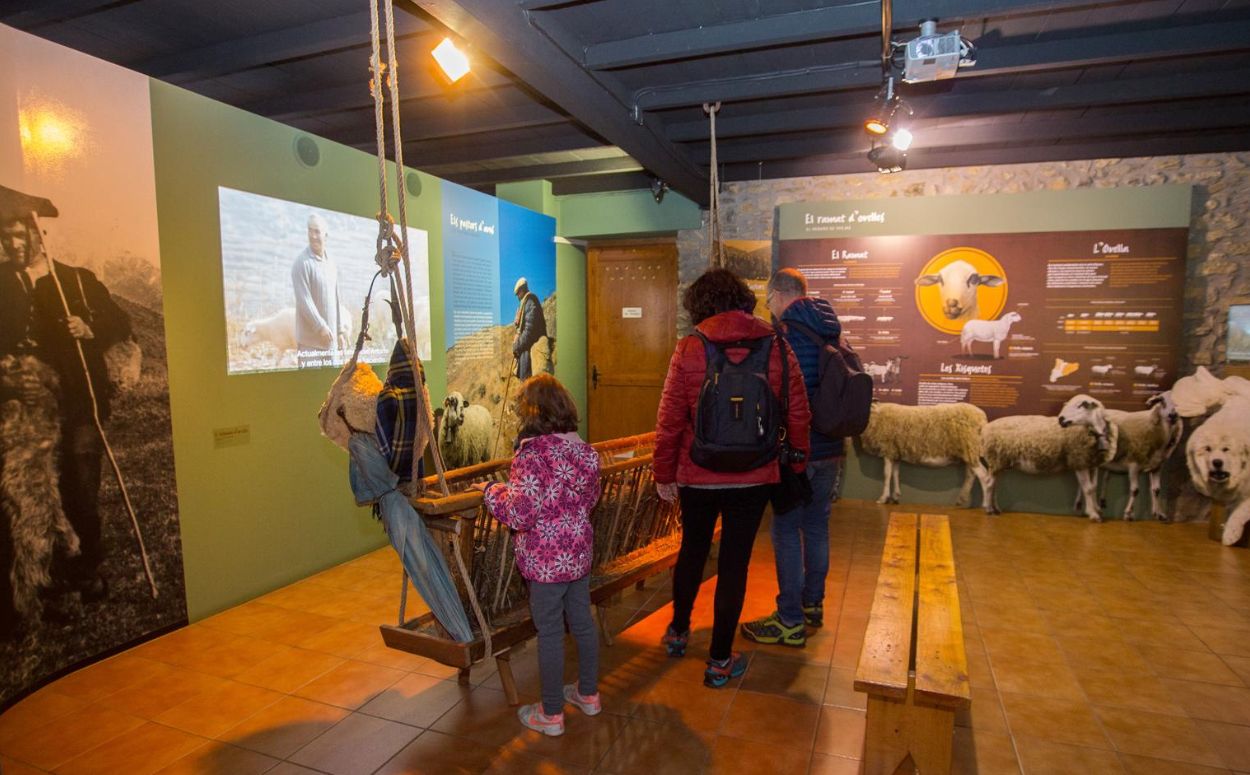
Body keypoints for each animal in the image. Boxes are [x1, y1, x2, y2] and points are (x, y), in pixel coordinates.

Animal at [855, 405, 990, 507]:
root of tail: (982, 417)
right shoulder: (896, 452)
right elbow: (895, 473)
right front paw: (896, 496)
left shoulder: (888, 449)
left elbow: (887, 474)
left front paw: (883, 498)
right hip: (969, 451)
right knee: (971, 474)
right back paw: (962, 498)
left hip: (970, 446)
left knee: (983, 476)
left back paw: (985, 505)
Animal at [980, 392, 1120, 520]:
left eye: (1082, 405)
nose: (1061, 419)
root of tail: (985, 428)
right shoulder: (1079, 461)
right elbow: (1088, 489)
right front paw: (1093, 514)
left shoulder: (1092, 463)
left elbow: (1094, 487)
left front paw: (1097, 509)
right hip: (996, 459)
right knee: (988, 483)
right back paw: (989, 509)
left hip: (1000, 462)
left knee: (994, 484)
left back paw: (996, 508)